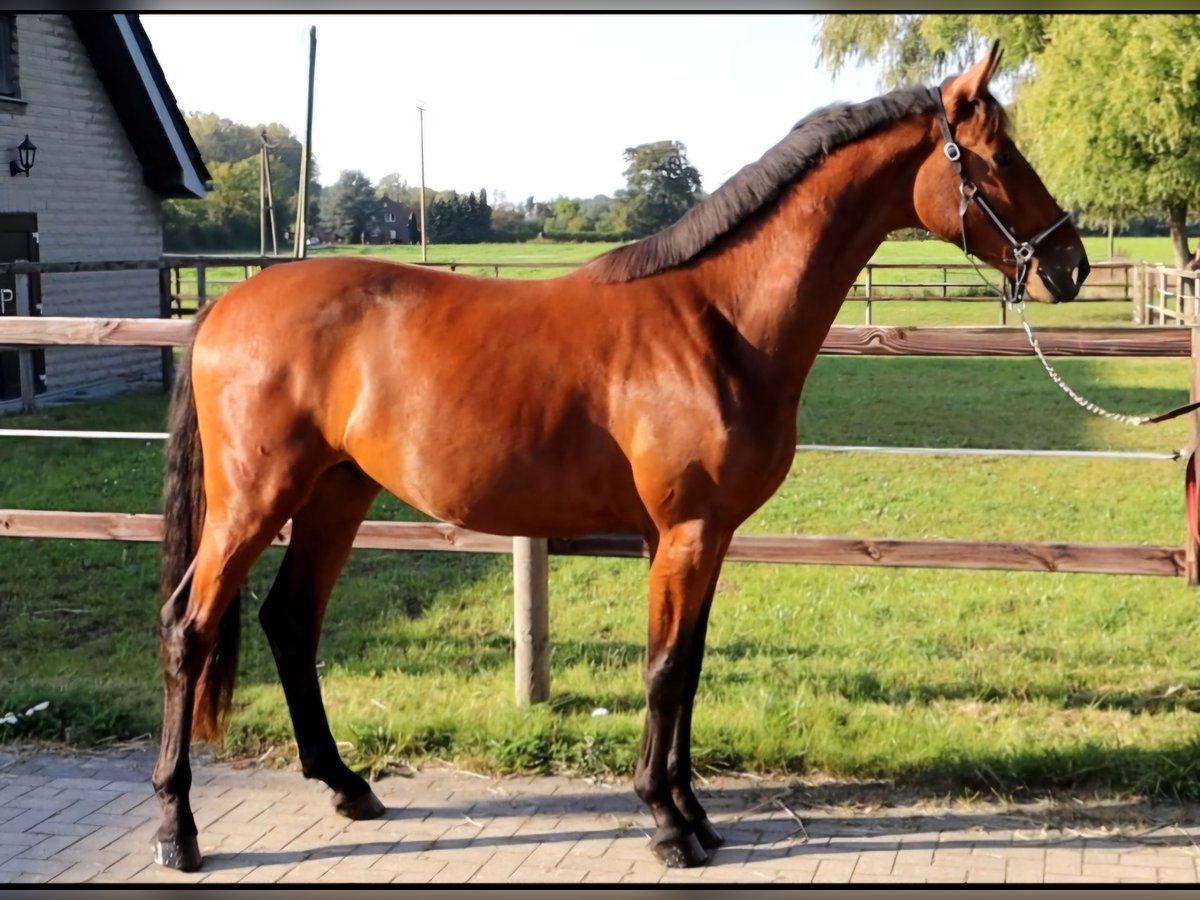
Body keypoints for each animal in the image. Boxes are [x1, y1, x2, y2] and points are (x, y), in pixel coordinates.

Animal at [150, 44, 1089, 873]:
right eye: (997, 155)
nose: (1069, 265)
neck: (720, 319)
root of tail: (227, 304)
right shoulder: (685, 533)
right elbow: (666, 671)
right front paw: (667, 825)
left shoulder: (698, 538)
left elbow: (690, 670)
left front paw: (695, 814)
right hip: (253, 501)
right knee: (189, 628)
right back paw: (177, 829)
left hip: (335, 495)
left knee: (289, 622)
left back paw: (348, 787)